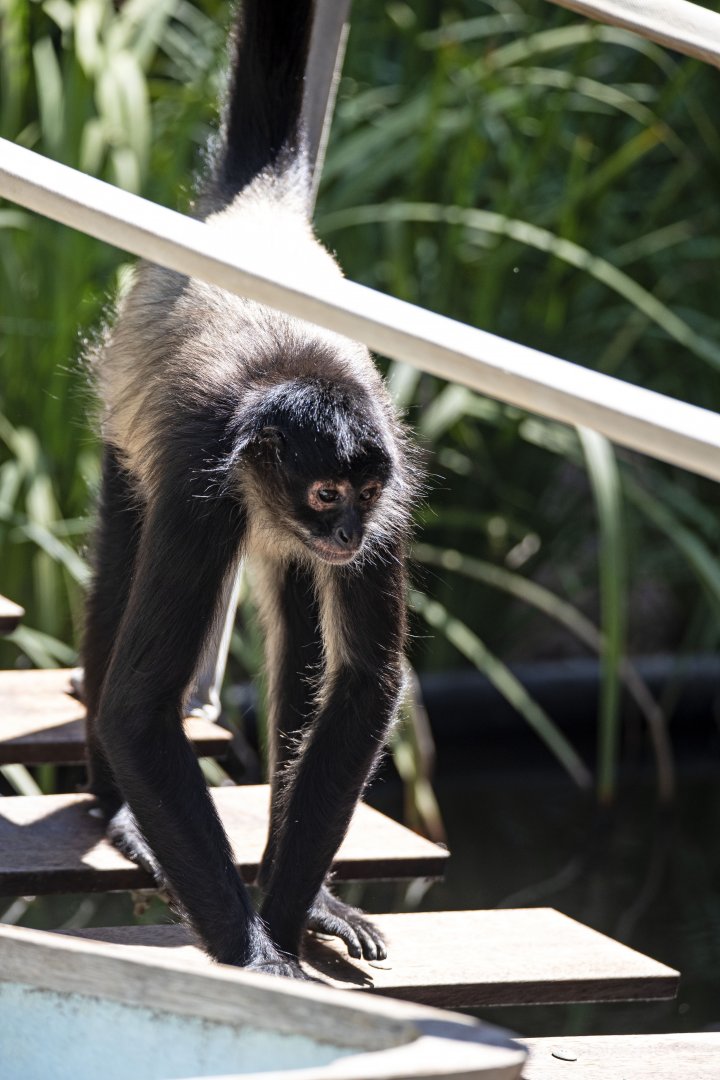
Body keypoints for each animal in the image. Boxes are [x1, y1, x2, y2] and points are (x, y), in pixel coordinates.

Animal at [82, 0, 420, 977]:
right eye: (323, 494)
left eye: (359, 493)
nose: (344, 535)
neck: (287, 369)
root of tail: (253, 216)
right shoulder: (201, 488)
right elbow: (135, 710)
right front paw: (258, 957)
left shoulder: (392, 481)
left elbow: (363, 684)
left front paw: (294, 913)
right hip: (129, 447)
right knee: (120, 578)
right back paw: (118, 811)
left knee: (304, 645)